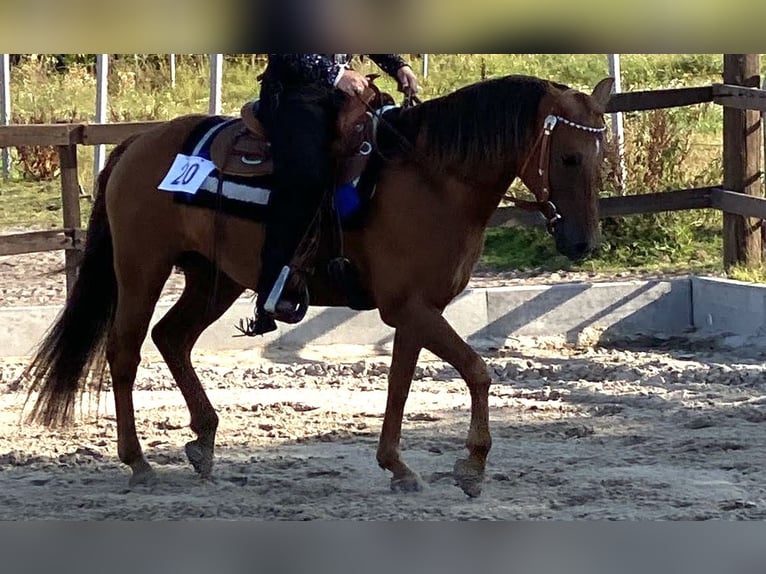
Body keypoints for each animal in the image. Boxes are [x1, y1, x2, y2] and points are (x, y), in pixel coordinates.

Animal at [22, 73, 614, 498]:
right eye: (567, 157)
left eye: (600, 156)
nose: (583, 242)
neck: (432, 178)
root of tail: (137, 143)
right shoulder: (411, 308)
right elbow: (478, 371)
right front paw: (470, 466)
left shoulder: (415, 310)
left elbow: (401, 385)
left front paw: (397, 466)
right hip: (142, 267)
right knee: (125, 352)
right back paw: (139, 462)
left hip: (214, 278)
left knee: (173, 337)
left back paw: (204, 441)